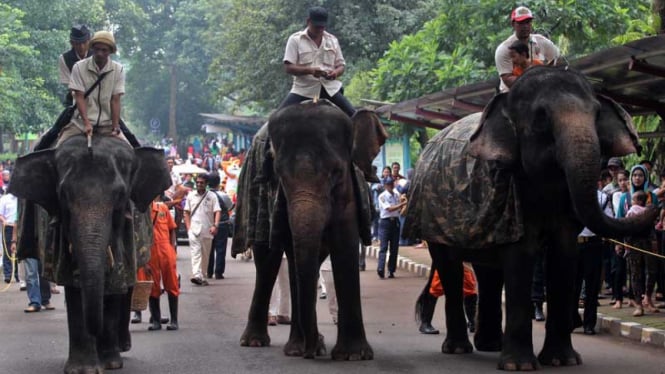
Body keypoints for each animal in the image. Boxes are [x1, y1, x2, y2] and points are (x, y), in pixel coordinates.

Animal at [9, 135, 170, 374]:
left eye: (121, 195)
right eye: (63, 195)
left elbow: (115, 284)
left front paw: (111, 364)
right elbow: (75, 287)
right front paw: (83, 369)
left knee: (127, 286)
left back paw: (121, 347)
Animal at [232, 101, 386, 360]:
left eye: (336, 173)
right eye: (279, 175)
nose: (311, 352)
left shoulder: (349, 194)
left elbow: (345, 246)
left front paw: (353, 355)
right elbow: (294, 255)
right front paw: (301, 349)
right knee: (268, 262)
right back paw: (255, 341)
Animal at [402, 65, 656, 372]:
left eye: (596, 114)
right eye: (541, 119)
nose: (651, 204)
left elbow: (564, 256)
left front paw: (563, 361)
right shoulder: (513, 197)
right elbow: (520, 256)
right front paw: (519, 366)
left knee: (488, 271)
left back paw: (490, 345)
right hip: (431, 218)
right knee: (450, 269)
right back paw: (458, 348)